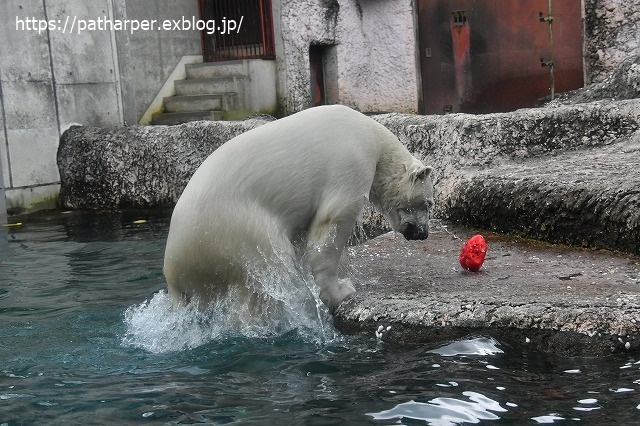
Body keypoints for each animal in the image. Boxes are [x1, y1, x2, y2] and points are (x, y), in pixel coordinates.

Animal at [164, 105, 436, 312]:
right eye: (428, 203)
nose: (423, 233)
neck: (374, 137)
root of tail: (174, 267)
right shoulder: (351, 161)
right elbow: (333, 223)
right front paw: (341, 291)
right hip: (235, 231)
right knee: (268, 273)